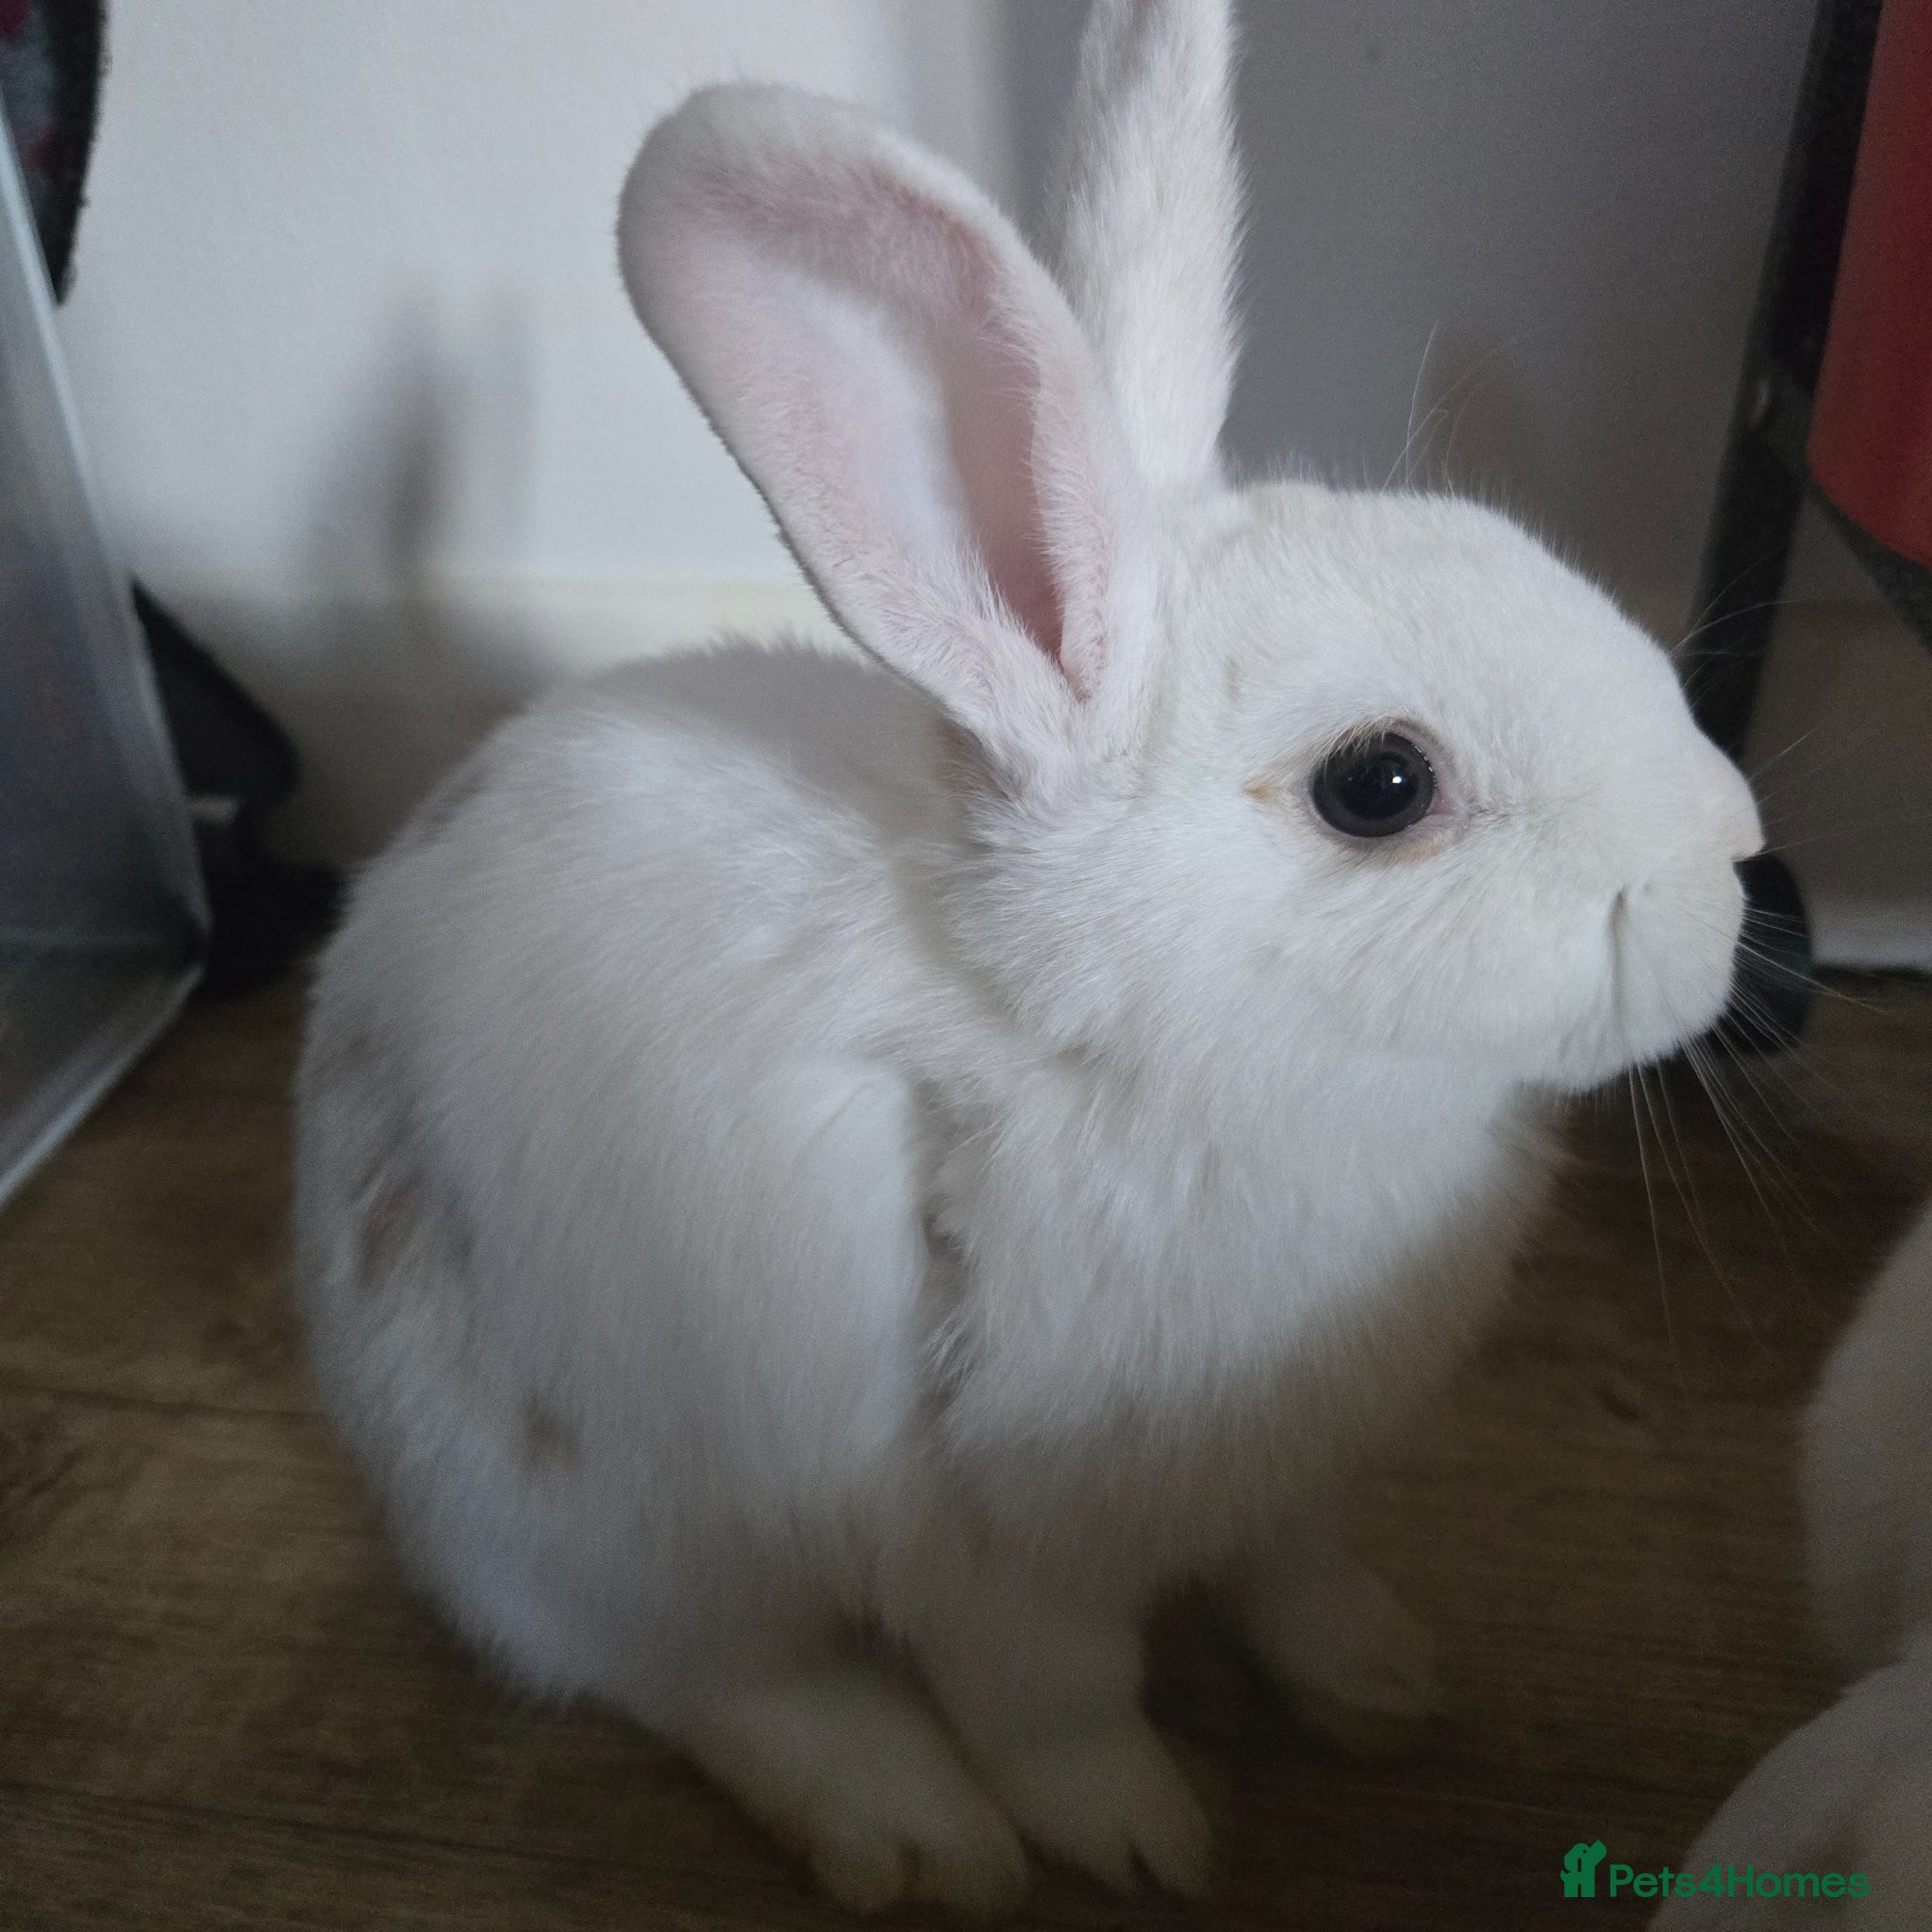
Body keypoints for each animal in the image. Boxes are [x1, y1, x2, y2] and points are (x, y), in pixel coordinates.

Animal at [294, 0, 1760, 1912]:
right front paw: (1137, 1838)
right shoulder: (984, 1548)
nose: (1734, 848)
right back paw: (914, 1830)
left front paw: (1379, 1682)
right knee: (699, 1677)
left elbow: (1298, 1578)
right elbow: (1055, 1700)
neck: (1116, 1056)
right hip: (600, 1517)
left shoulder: (1290, 1477)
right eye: (1378, 785)